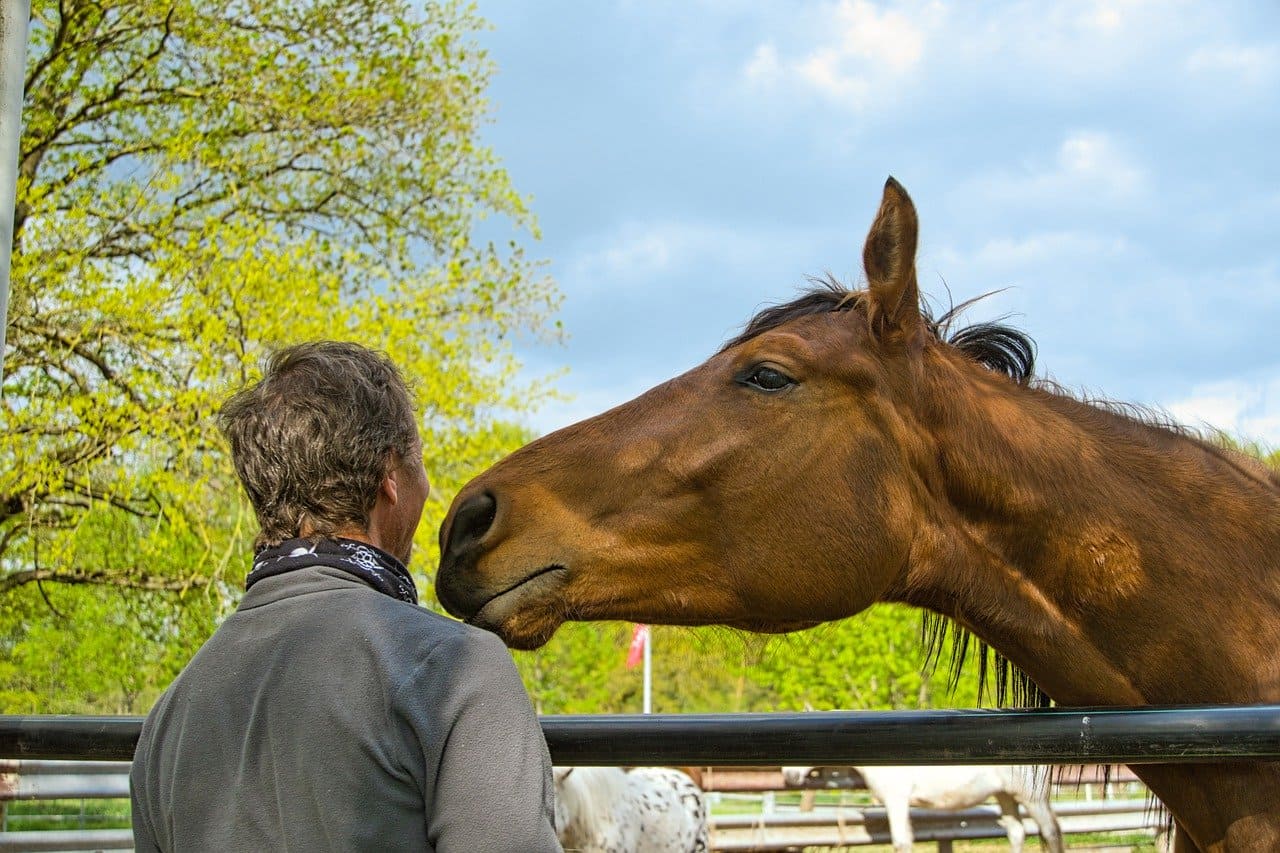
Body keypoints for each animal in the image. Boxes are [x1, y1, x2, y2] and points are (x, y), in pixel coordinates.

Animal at [783, 763, 1064, 850]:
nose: (789, 776)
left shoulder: (896, 800)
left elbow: (901, 841)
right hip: (1004, 795)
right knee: (1017, 832)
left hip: (1031, 797)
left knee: (1051, 831)